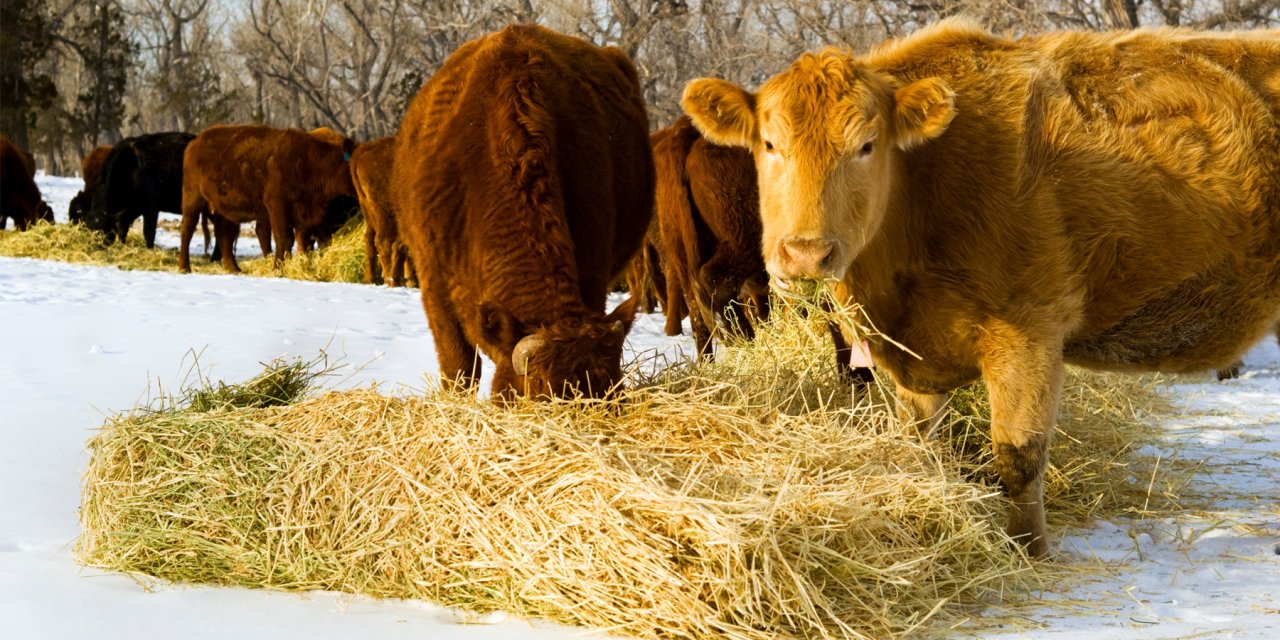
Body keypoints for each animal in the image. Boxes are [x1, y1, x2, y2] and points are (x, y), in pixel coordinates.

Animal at [177, 124, 358, 272]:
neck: (311, 162)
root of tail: (195, 143)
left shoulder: (306, 217)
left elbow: (304, 242)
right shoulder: (277, 206)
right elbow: (284, 238)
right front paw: (278, 267)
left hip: (226, 208)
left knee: (225, 233)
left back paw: (234, 268)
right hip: (192, 198)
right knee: (188, 229)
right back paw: (184, 267)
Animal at [348, 137, 412, 288]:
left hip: (369, 213)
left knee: (369, 239)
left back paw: (371, 279)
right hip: (384, 214)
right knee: (383, 242)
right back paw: (390, 280)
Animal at [686, 21, 1280, 555]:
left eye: (867, 146)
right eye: (769, 143)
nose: (807, 253)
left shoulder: (1031, 332)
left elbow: (1019, 456)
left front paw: (1029, 550)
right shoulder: (915, 357)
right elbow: (920, 442)